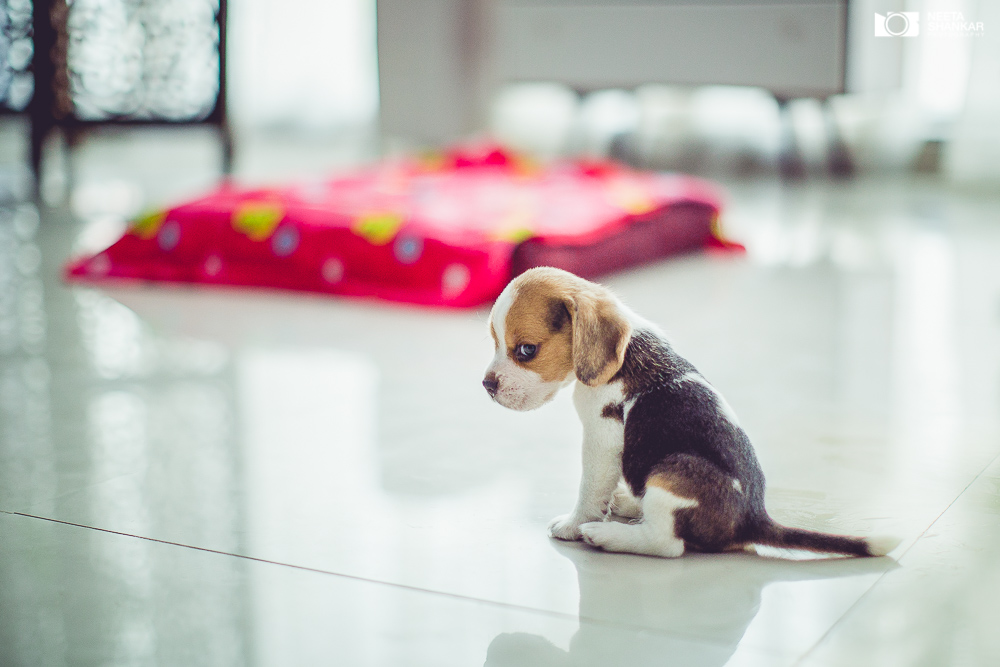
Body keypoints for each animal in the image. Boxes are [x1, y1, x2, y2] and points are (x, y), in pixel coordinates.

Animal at [484, 266, 900, 560]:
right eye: (494, 341)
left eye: (526, 350)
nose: (487, 385)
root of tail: (752, 519)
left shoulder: (601, 440)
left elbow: (589, 490)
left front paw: (574, 525)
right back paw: (629, 504)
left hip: (673, 470)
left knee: (666, 544)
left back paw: (608, 535)